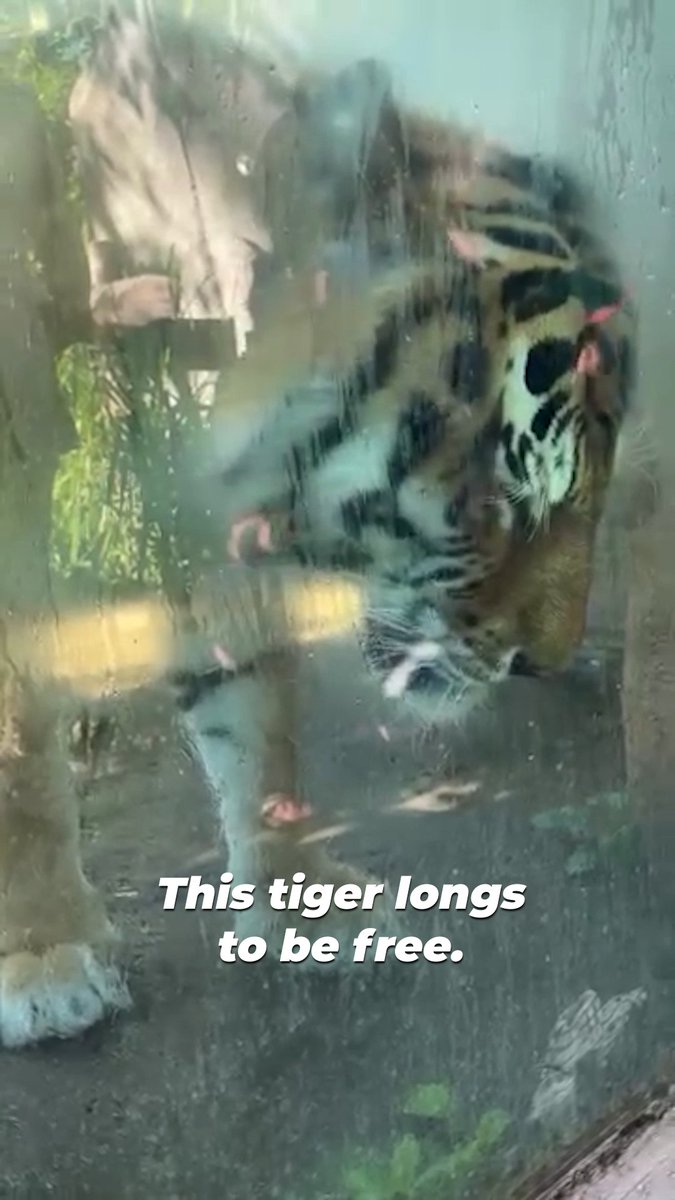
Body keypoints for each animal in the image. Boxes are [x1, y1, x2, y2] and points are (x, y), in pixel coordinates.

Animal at [0, 20, 635, 1049]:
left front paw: (296, 897)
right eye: (505, 491)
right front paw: (44, 953)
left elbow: (252, 696)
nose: (541, 662)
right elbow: (17, 729)